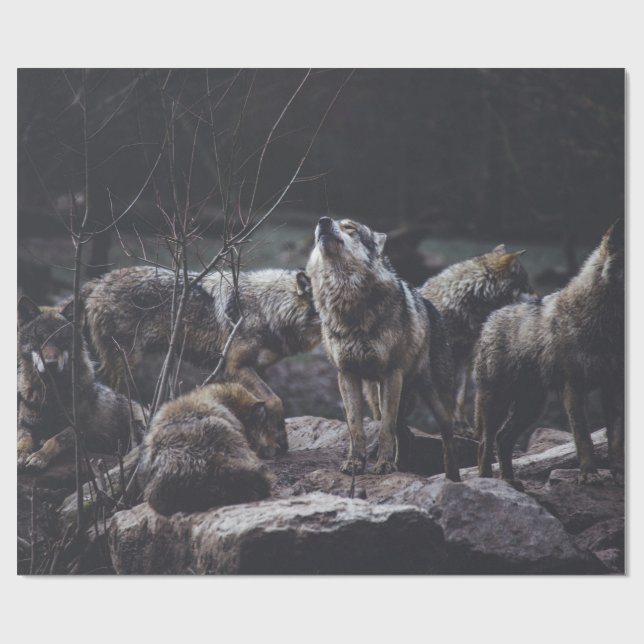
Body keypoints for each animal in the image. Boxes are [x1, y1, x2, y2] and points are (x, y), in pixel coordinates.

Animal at [17, 296, 145, 471]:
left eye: (62, 340)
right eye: (40, 340)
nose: (50, 364)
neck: (52, 395)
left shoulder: (79, 429)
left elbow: (55, 439)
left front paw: (39, 456)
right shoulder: (25, 425)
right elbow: (23, 441)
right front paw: (20, 454)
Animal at [82, 266, 321, 455]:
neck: (268, 308)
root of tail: (99, 281)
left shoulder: (257, 369)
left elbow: (262, 407)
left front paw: (270, 444)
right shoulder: (236, 366)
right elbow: (275, 400)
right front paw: (280, 441)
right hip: (127, 364)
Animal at [306, 216, 460, 480]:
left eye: (350, 227)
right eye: (327, 222)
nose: (323, 221)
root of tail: (431, 306)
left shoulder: (391, 374)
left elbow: (385, 430)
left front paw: (384, 466)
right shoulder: (347, 375)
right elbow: (355, 427)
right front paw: (355, 463)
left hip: (434, 401)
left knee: (447, 440)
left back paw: (453, 479)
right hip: (378, 398)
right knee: (406, 434)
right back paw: (404, 468)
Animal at [475, 220, 624, 487]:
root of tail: (491, 318)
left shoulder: (613, 387)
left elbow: (615, 439)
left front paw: (619, 475)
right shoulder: (574, 388)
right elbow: (583, 438)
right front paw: (589, 475)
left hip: (531, 407)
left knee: (503, 438)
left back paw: (510, 481)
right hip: (497, 402)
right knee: (485, 442)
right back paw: (488, 483)